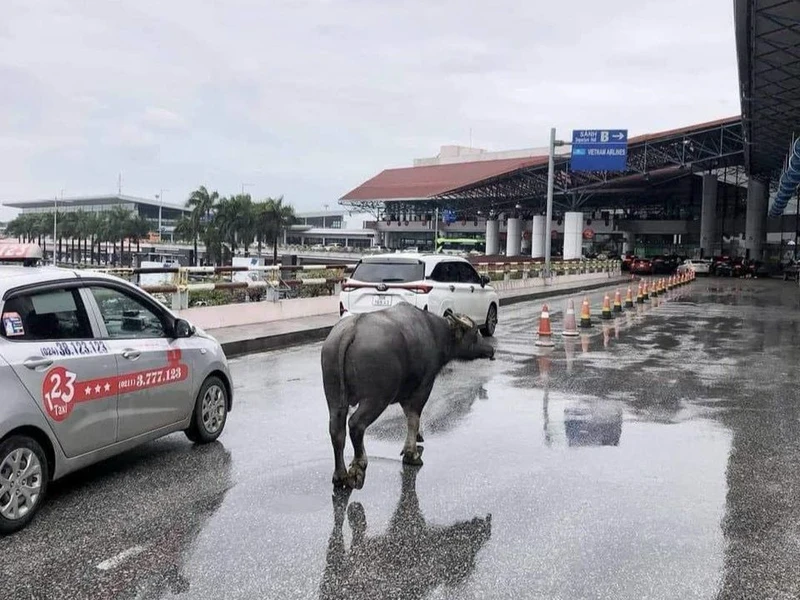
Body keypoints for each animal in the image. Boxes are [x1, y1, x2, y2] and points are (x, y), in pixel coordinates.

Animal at [318, 302, 494, 490]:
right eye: (475, 333)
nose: (491, 350)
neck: (435, 333)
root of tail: (351, 329)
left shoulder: (405, 394)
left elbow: (409, 417)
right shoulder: (423, 387)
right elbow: (413, 418)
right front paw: (411, 454)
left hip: (334, 397)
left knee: (336, 431)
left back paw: (340, 475)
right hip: (376, 398)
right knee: (356, 424)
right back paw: (359, 465)